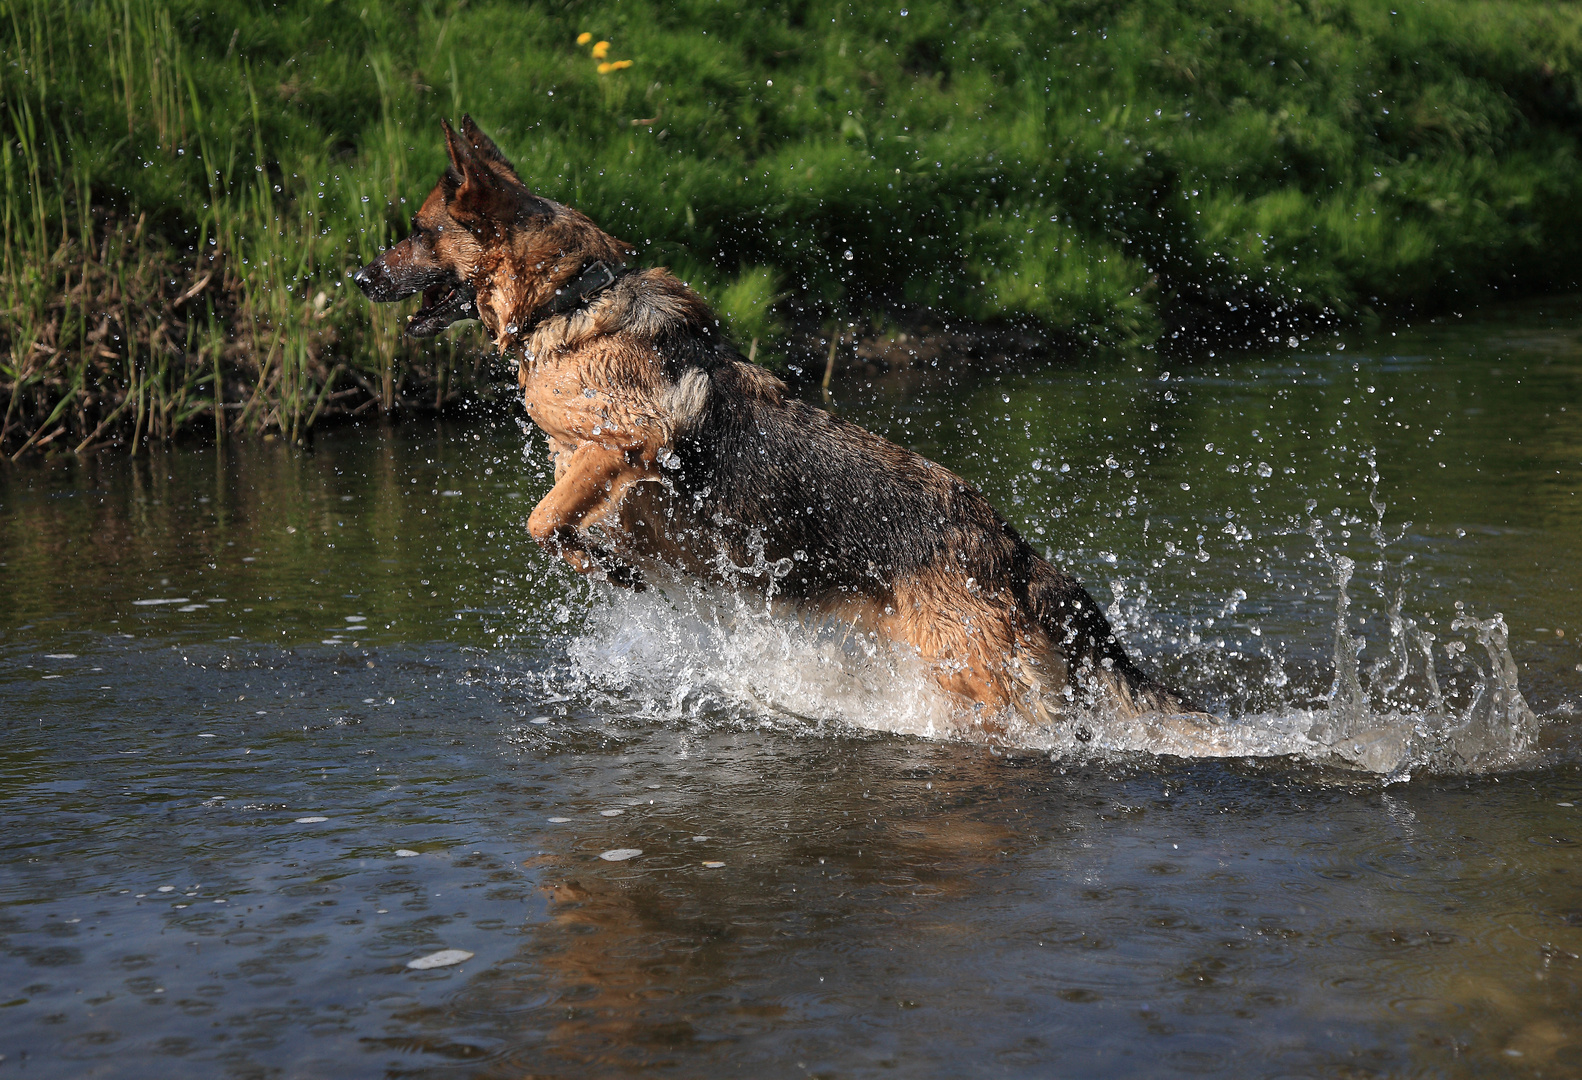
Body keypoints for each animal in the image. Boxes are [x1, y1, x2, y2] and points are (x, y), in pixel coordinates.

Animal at [355, 118, 1195, 733]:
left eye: (420, 229)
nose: (358, 276)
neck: (570, 299)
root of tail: (1013, 549)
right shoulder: (603, 475)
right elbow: (567, 523)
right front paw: (609, 565)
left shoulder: (629, 443)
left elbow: (542, 519)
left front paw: (607, 567)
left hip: (976, 681)